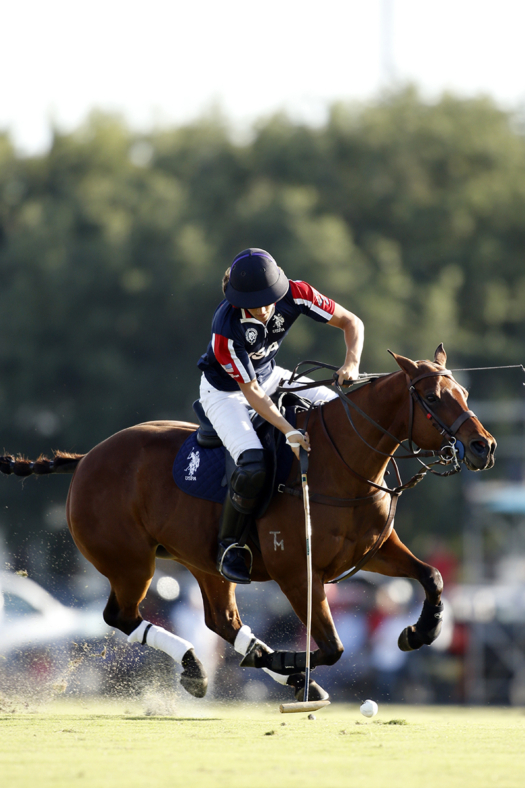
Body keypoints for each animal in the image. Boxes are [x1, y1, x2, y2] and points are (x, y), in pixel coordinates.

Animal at [0, 344, 494, 700]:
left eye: (466, 395)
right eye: (432, 398)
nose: (482, 447)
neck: (341, 463)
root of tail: (85, 459)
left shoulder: (374, 550)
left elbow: (431, 576)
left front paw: (419, 632)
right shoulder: (296, 571)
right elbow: (333, 647)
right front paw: (289, 665)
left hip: (203, 562)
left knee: (221, 621)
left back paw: (241, 666)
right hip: (130, 562)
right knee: (120, 616)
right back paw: (205, 666)